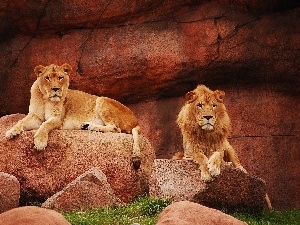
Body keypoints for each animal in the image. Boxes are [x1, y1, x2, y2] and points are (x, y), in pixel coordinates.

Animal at [5, 63, 142, 169]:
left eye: (60, 77)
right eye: (47, 78)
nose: (55, 89)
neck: (45, 99)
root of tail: (136, 120)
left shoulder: (57, 119)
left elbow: (45, 125)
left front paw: (40, 141)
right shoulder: (34, 116)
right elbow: (21, 122)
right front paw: (11, 132)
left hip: (101, 99)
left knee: (115, 128)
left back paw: (90, 127)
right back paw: (86, 125)